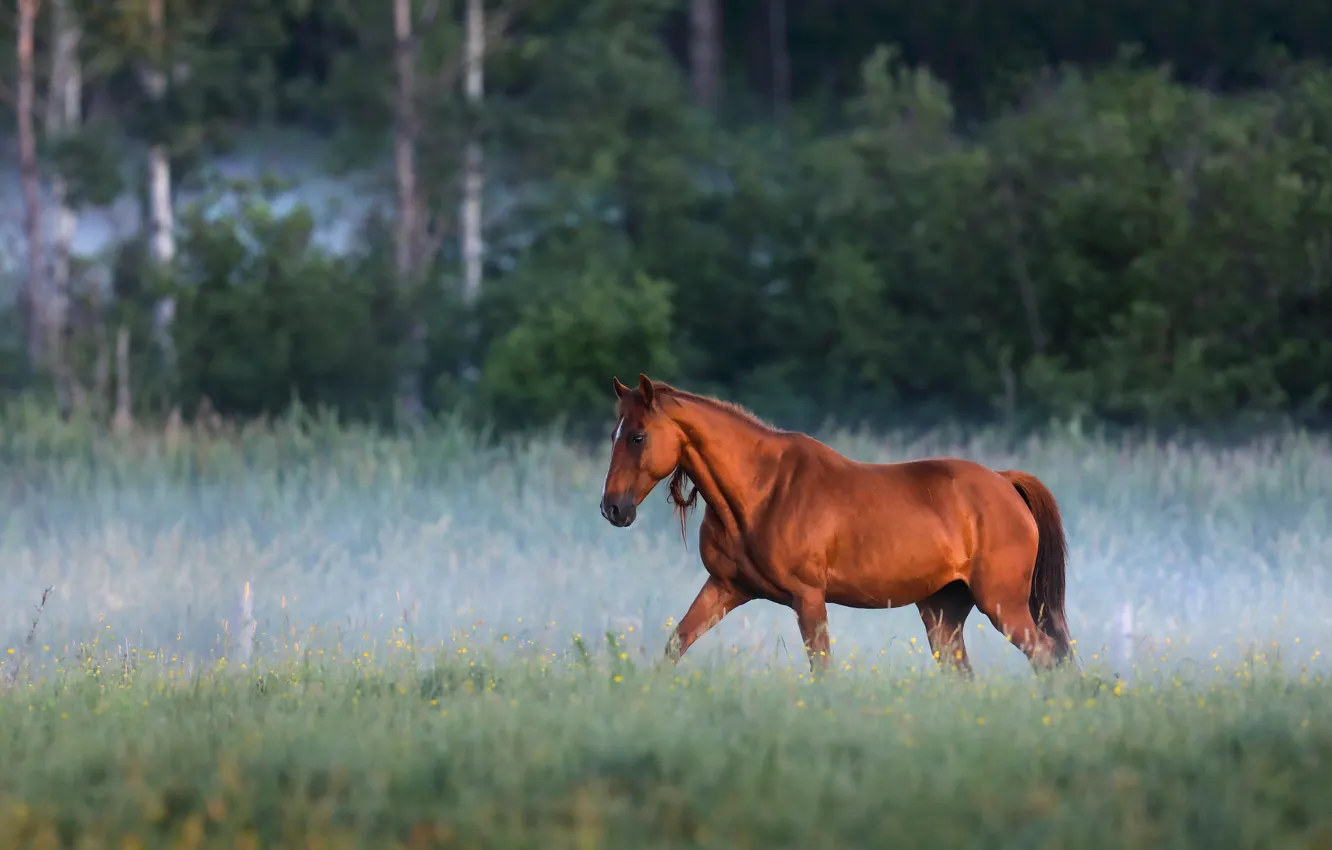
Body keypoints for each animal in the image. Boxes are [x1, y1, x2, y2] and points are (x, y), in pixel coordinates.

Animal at [598, 373, 1075, 675]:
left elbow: (823, 669)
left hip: (1002, 605)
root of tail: (1004, 481)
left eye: (638, 436)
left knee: (1047, 657)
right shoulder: (725, 587)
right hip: (942, 611)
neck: (762, 492)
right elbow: (674, 646)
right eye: (614, 434)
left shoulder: (808, 599)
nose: (612, 509)